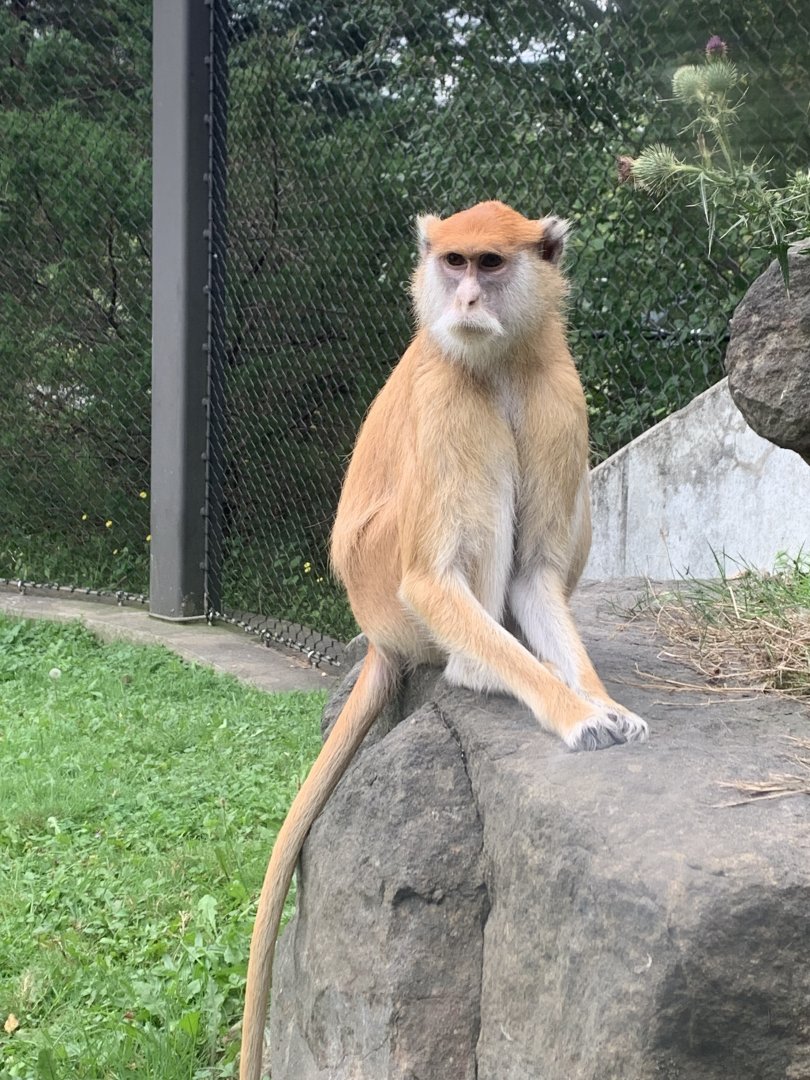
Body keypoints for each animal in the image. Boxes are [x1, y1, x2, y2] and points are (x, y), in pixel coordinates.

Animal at [239, 200, 648, 1080]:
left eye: (489, 264)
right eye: (452, 261)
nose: (463, 298)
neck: (501, 361)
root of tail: (372, 638)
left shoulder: (559, 392)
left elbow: (538, 576)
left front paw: (601, 700)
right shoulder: (449, 395)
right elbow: (434, 580)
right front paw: (575, 714)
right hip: (382, 582)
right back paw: (472, 667)